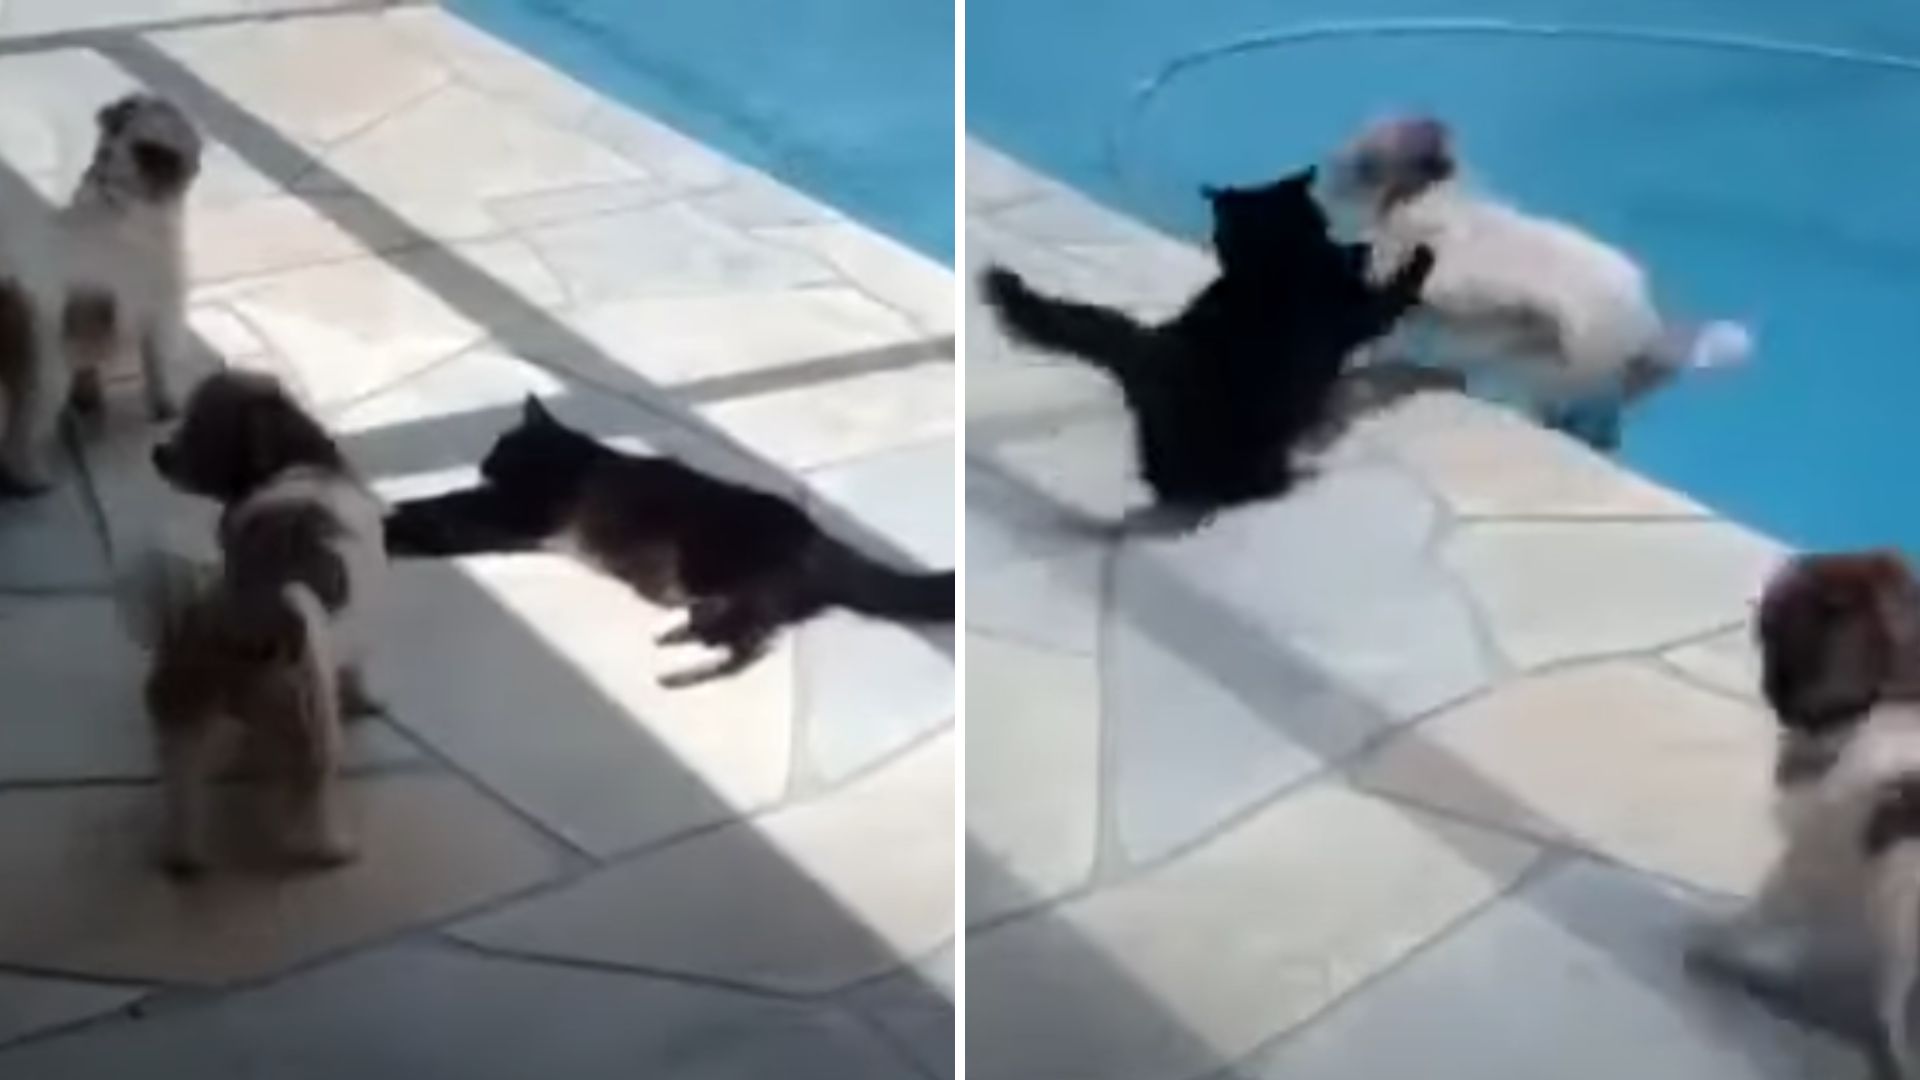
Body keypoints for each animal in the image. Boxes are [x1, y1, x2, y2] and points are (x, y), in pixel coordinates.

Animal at [121, 372, 384, 876]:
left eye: (199, 431)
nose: (158, 451)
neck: (297, 463)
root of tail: (236, 621)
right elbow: (360, 668)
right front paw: (366, 699)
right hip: (309, 713)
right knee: (312, 787)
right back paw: (332, 848)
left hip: (184, 709)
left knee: (181, 786)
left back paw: (184, 856)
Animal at [387, 399, 952, 684]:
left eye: (501, 445)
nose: (484, 463)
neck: (568, 456)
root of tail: (820, 540)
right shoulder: (512, 509)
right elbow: (452, 503)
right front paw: (404, 513)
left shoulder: (519, 514)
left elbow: (457, 516)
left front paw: (401, 528)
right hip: (732, 593)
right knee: (750, 638)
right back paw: (683, 640)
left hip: (719, 567)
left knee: (750, 644)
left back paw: (682, 666)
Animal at [983, 167, 1436, 522]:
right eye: (1320, 218)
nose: (1335, 236)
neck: (1269, 268)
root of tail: (1153, 347)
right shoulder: (1355, 313)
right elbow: (1390, 296)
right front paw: (1419, 256)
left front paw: (1361, 250)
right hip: (1250, 445)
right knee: (1240, 485)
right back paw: (1287, 483)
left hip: (1160, 446)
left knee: (1164, 479)